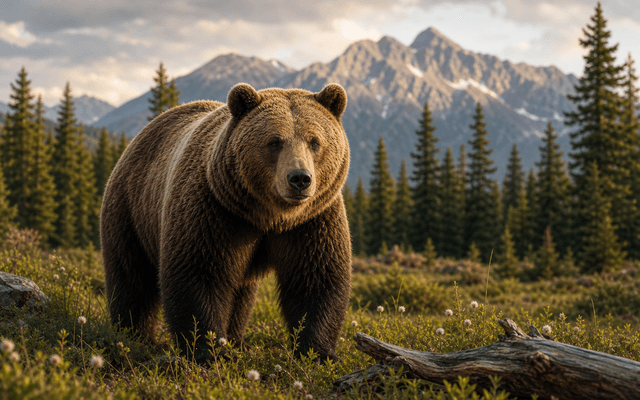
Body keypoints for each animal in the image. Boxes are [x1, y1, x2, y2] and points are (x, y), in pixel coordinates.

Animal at [100, 83, 352, 362]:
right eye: (274, 141)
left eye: (314, 141)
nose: (299, 178)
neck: (269, 217)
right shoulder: (213, 212)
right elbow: (198, 274)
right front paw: (209, 349)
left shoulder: (313, 220)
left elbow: (316, 279)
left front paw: (319, 353)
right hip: (131, 209)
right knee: (131, 277)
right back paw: (134, 335)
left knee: (241, 293)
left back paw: (237, 340)